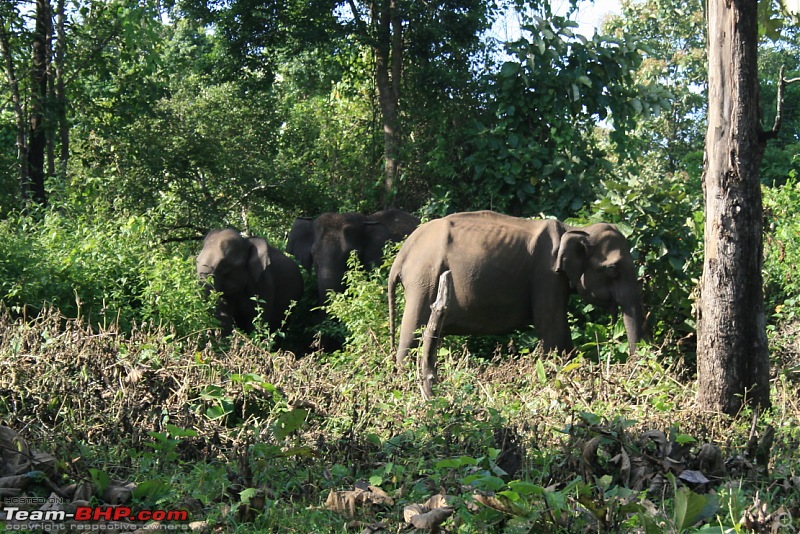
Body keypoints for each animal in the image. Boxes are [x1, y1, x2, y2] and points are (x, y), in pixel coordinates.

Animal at [390, 211, 648, 396]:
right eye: (613, 269)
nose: (632, 368)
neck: (574, 230)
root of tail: (402, 254)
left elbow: (559, 332)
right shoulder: (547, 275)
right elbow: (552, 329)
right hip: (424, 278)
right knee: (411, 333)